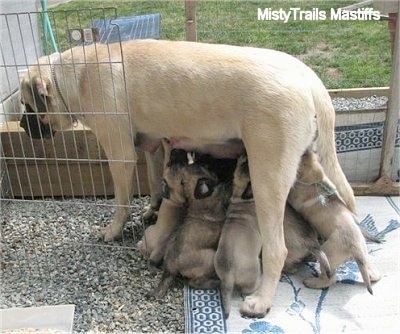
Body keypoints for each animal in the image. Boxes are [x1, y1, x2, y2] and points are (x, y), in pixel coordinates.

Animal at [148, 151, 233, 298]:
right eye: (208, 168)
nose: (206, 155)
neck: (197, 201)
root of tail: (171, 266)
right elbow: (228, 189)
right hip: (210, 258)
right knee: (194, 282)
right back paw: (215, 282)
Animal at [288, 150, 382, 294]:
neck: (314, 182)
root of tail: (356, 249)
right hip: (364, 254)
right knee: (369, 272)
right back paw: (374, 276)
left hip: (328, 254)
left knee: (329, 278)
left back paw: (312, 282)